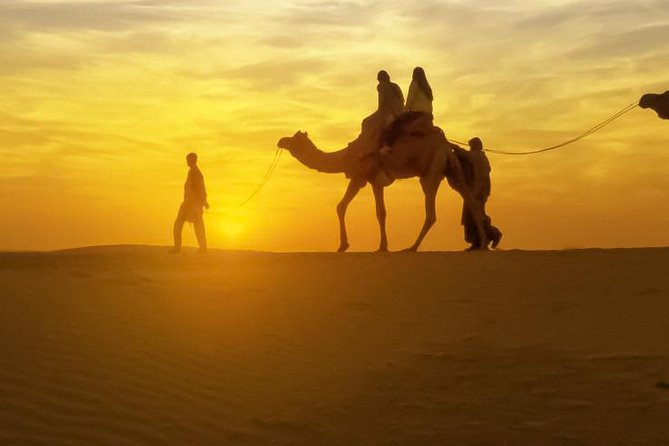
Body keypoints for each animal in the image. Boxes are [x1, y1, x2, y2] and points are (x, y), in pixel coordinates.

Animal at [277, 112, 488, 252]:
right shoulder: (360, 179)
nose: (280, 141)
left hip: (431, 171)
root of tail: (445, 143)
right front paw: (343, 245)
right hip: (452, 172)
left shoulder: (368, 178)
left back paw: (411, 247)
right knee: (471, 201)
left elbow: (380, 212)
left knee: (431, 212)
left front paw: (382, 246)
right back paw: (483, 245)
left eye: (294, 139)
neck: (345, 156)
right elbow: (341, 206)